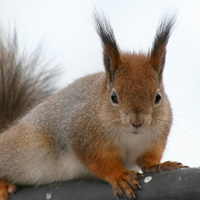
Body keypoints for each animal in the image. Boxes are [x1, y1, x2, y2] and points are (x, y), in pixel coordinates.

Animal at [0, 12, 189, 200]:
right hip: (24, 150)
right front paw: (119, 176)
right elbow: (100, 162)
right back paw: (3, 185)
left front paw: (161, 165)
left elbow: (146, 160)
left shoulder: (155, 140)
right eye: (113, 97)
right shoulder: (82, 134)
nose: (137, 122)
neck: (130, 136)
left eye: (158, 97)